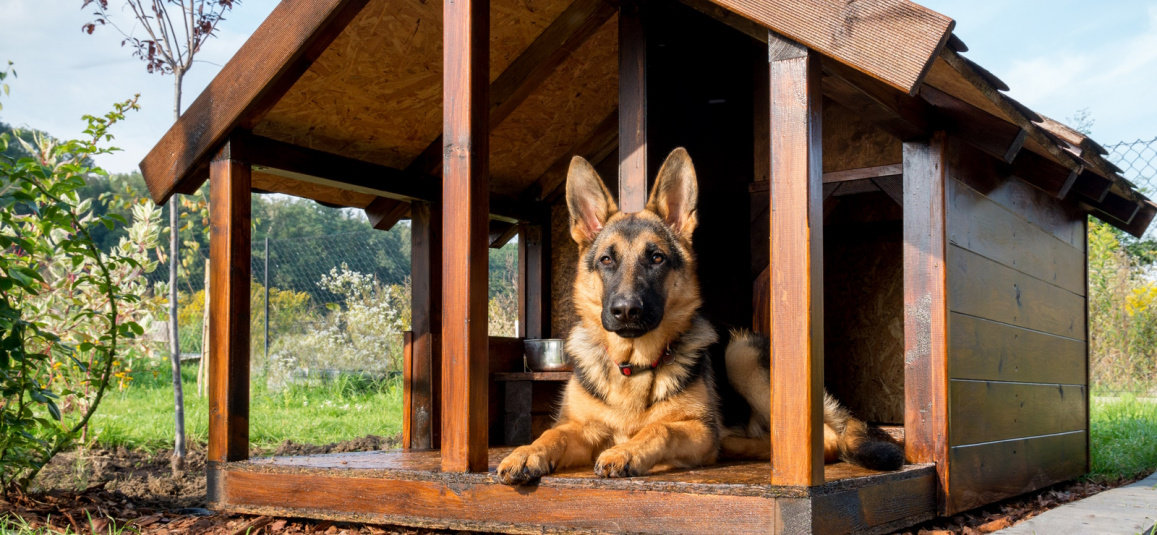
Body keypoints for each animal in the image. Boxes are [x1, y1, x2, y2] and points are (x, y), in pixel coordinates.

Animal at [497, 147, 902, 484]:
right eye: (607, 260)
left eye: (656, 257)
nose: (626, 310)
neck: (633, 366)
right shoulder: (581, 428)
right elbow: (552, 433)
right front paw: (525, 452)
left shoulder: (693, 428)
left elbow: (660, 429)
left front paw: (627, 451)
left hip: (740, 354)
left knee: (826, 440)